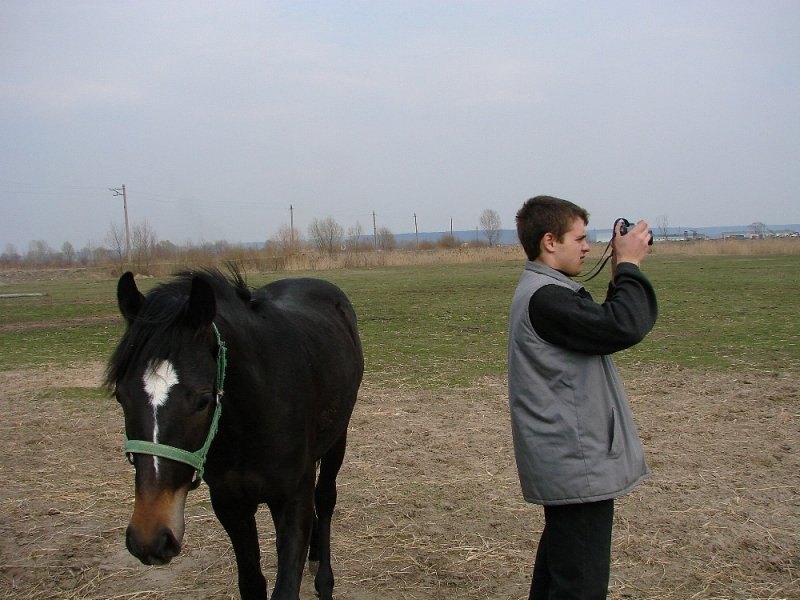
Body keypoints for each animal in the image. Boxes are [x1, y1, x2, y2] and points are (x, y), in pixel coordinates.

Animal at [106, 270, 366, 596]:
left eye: (203, 400)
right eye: (121, 396)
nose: (150, 537)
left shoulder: (293, 501)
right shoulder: (230, 504)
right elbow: (252, 583)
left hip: (336, 441)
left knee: (325, 498)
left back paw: (324, 579)